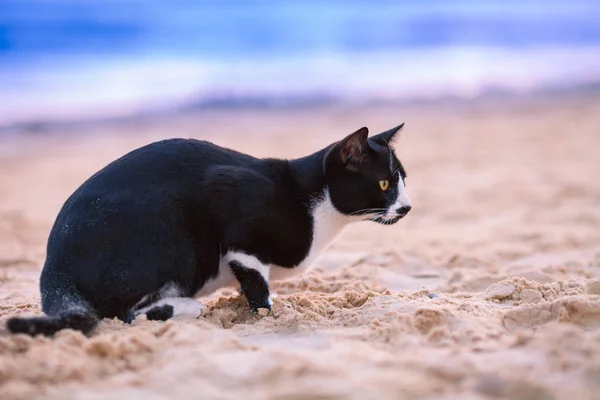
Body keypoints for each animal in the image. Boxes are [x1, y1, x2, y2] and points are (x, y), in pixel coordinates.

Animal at [5, 124, 408, 334]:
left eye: (403, 179)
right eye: (384, 184)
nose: (407, 207)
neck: (312, 204)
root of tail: (53, 264)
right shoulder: (233, 205)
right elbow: (258, 287)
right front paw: (269, 316)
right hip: (174, 237)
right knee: (124, 313)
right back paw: (188, 307)